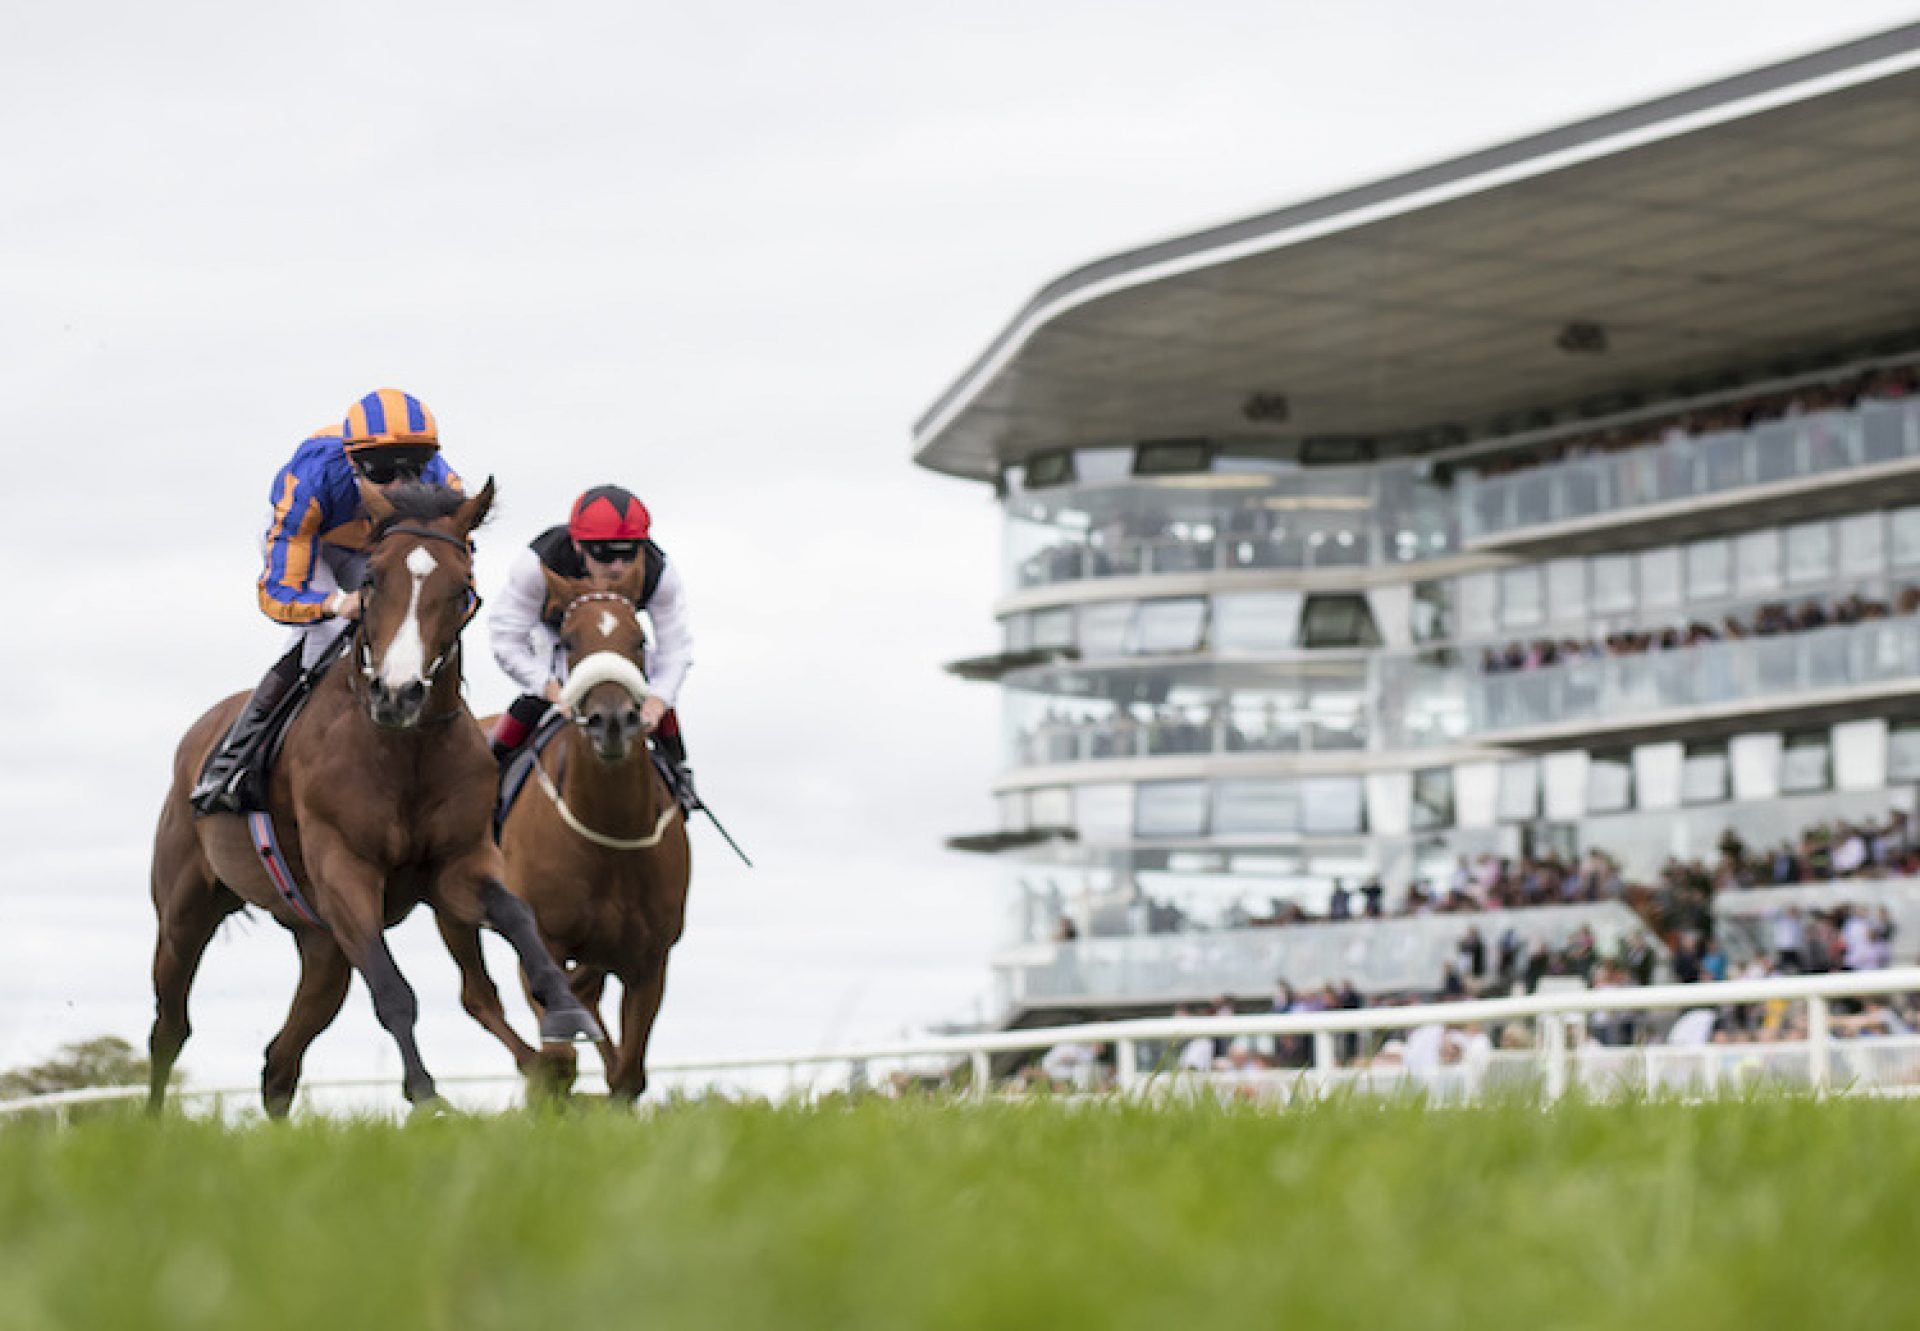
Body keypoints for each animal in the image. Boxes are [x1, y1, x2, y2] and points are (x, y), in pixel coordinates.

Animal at [148, 478, 599, 1113]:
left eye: (461, 588)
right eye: (371, 580)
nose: (398, 694)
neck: (402, 749)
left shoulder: (455, 867)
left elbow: (516, 915)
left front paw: (564, 1012)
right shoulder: (345, 871)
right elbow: (392, 990)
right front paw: (427, 1099)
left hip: (321, 944)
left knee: (280, 1060)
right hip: (185, 911)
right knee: (170, 1027)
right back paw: (149, 1122)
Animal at [499, 560, 695, 1098]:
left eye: (638, 639)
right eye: (568, 640)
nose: (612, 720)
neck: (612, 832)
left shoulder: (650, 960)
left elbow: (627, 1074)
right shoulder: (542, 942)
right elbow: (559, 1058)